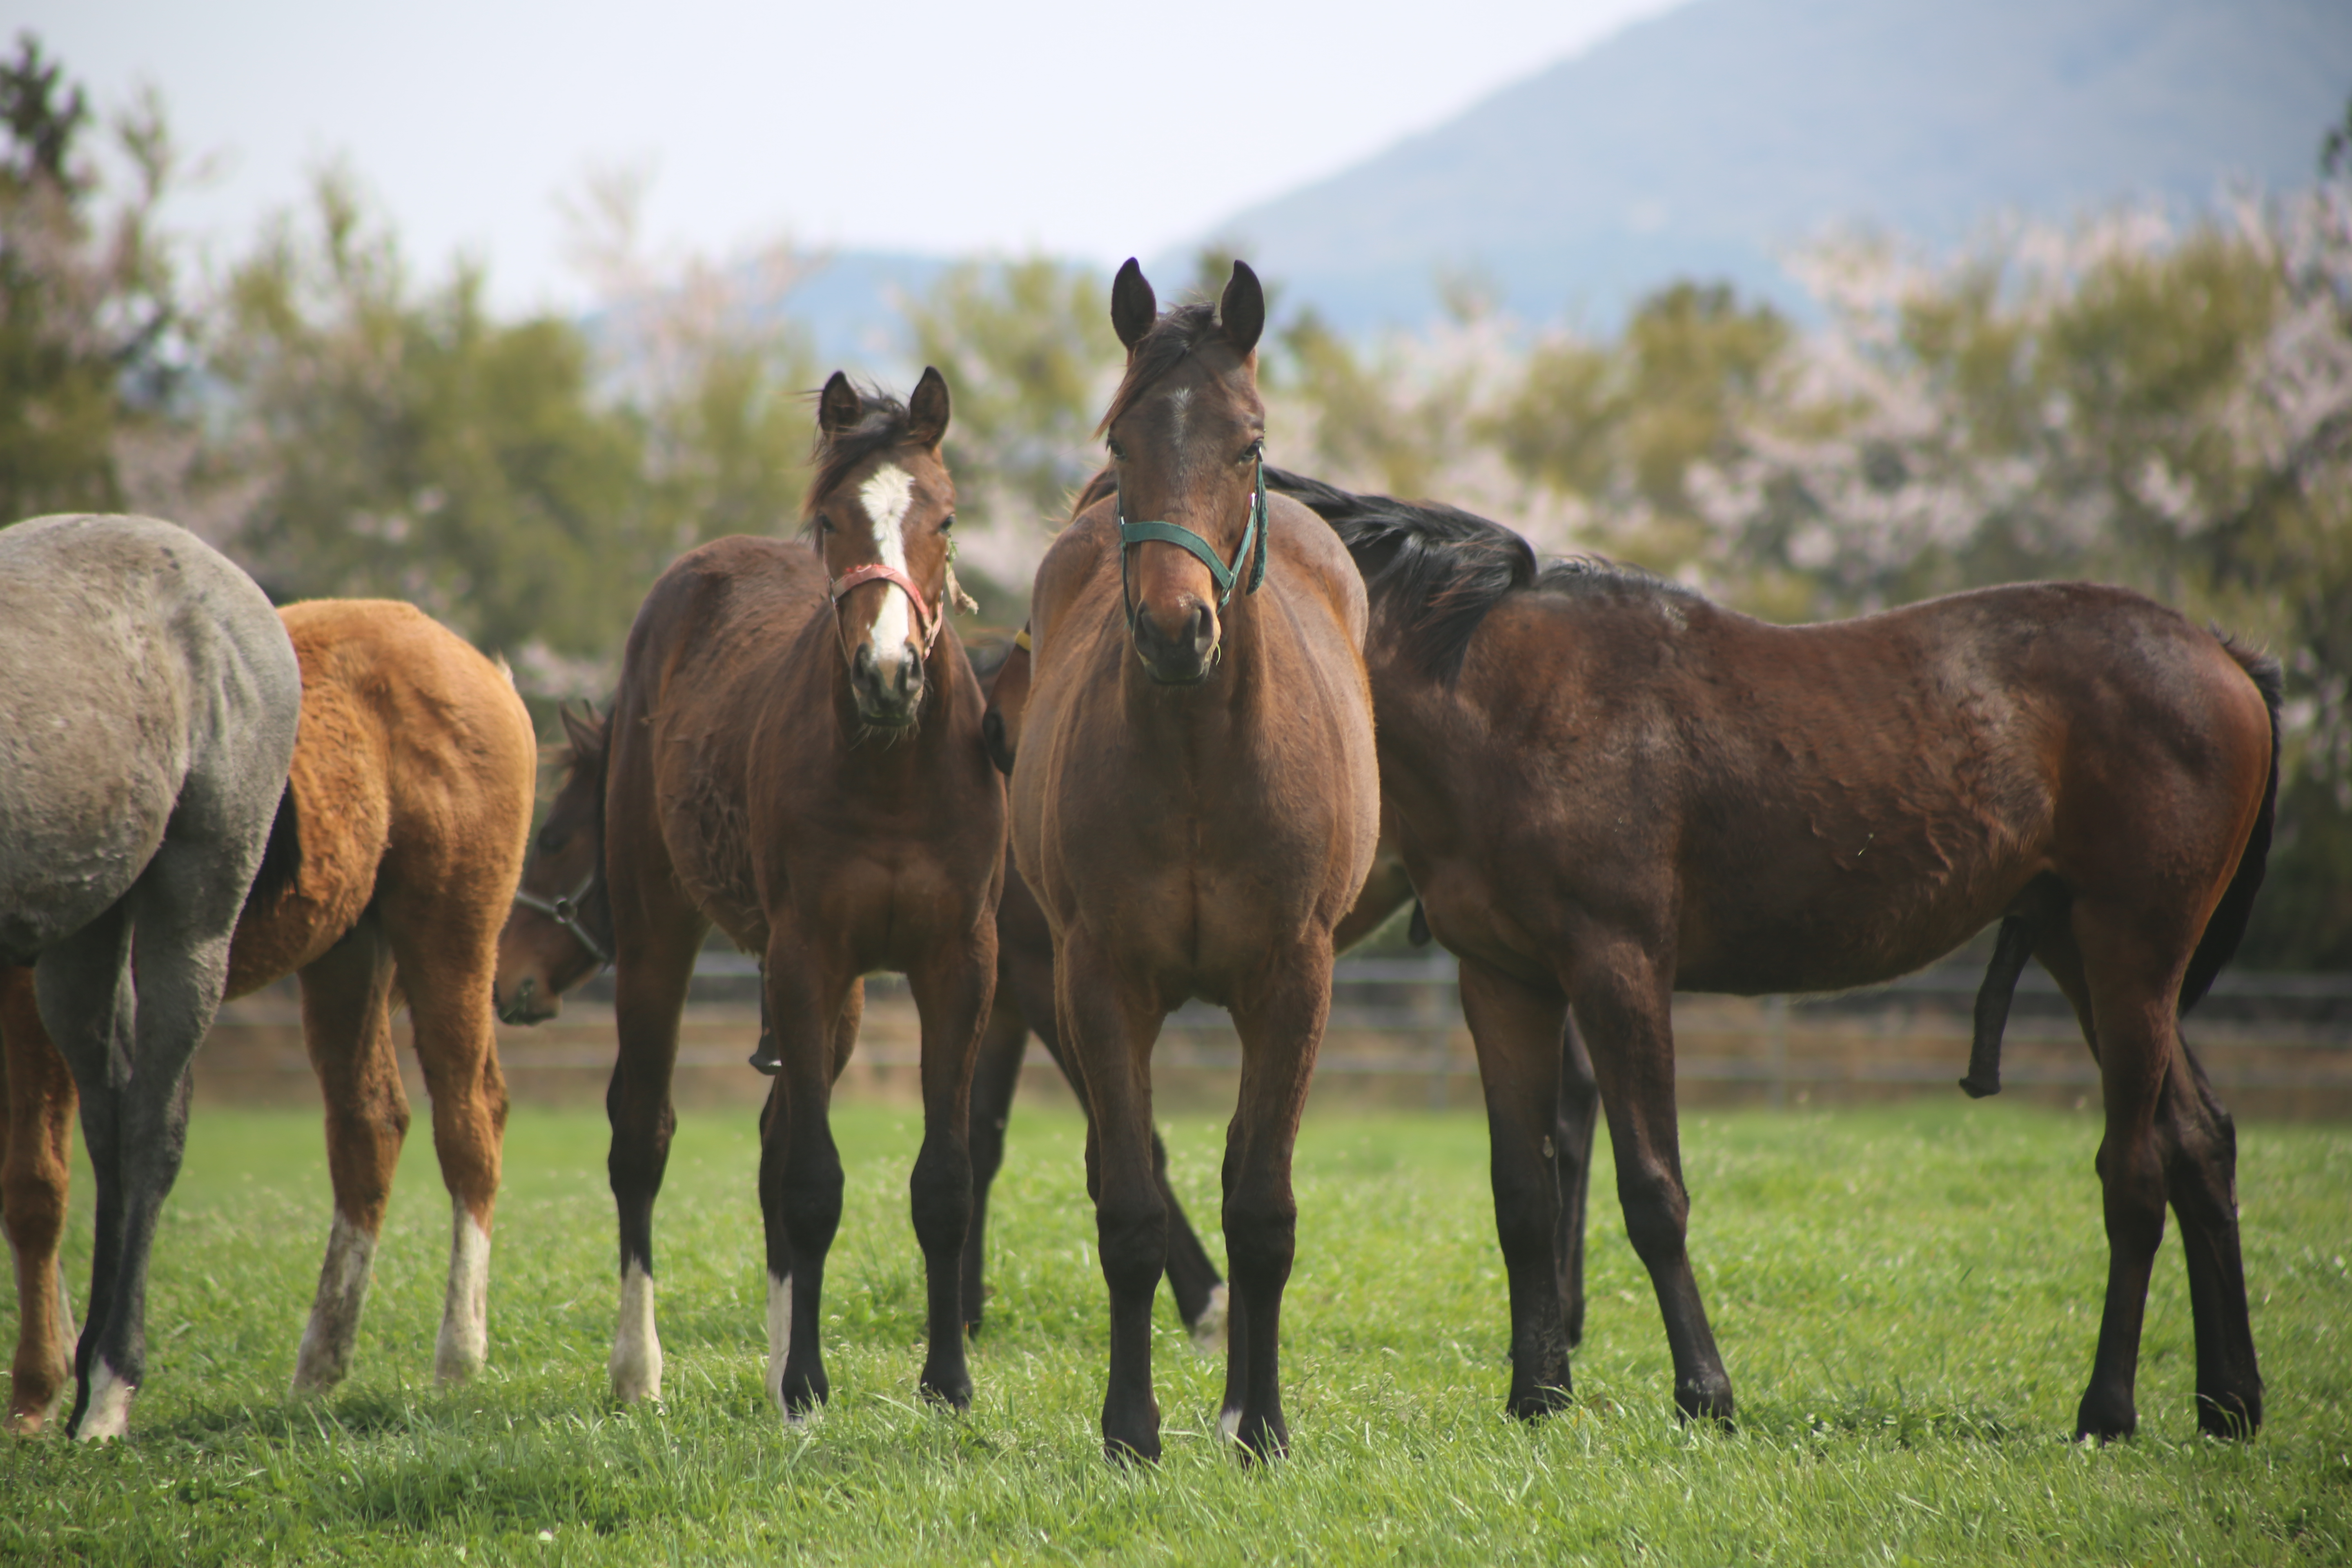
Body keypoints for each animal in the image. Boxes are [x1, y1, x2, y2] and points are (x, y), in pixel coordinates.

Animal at [7, 597, 531, 1439]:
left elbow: (38, 1187)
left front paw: (43, 1389)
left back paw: (459, 1354)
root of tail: (472, 661)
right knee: (369, 1123)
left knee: (469, 1121)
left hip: (449, 937)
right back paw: (320, 1365)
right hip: (347, 953)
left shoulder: (37, 991)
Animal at [592, 371, 1007, 1420]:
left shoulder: (959, 965)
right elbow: (816, 1180)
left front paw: (946, 1381)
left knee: (772, 1141)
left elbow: (942, 1181)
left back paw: (780, 1358)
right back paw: (640, 1369)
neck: (893, 771)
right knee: (643, 1133)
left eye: (946, 518)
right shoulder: (803, 955)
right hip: (657, 929)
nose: (890, 673)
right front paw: (812, 1384)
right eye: (831, 520)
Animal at [1007, 263, 1373, 1467]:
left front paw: (1262, 1426)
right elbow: (1129, 1208)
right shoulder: (1098, 981)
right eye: (1123, 440)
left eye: (1246, 442)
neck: (1201, 760)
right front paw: (1131, 1429)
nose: (1177, 629)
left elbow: (1261, 1211)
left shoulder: (1296, 980)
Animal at [1270, 470, 2276, 1448]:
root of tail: (2223, 654)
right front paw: (1537, 1399)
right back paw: (2229, 1402)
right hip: (2085, 953)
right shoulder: (1504, 981)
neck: (1501, 700)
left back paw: (2108, 1412)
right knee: (2199, 1143)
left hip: (2132, 953)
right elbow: (1523, 1195)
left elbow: (1654, 1190)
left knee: (2136, 1173)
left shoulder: (1619, 966)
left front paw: (1704, 1397)